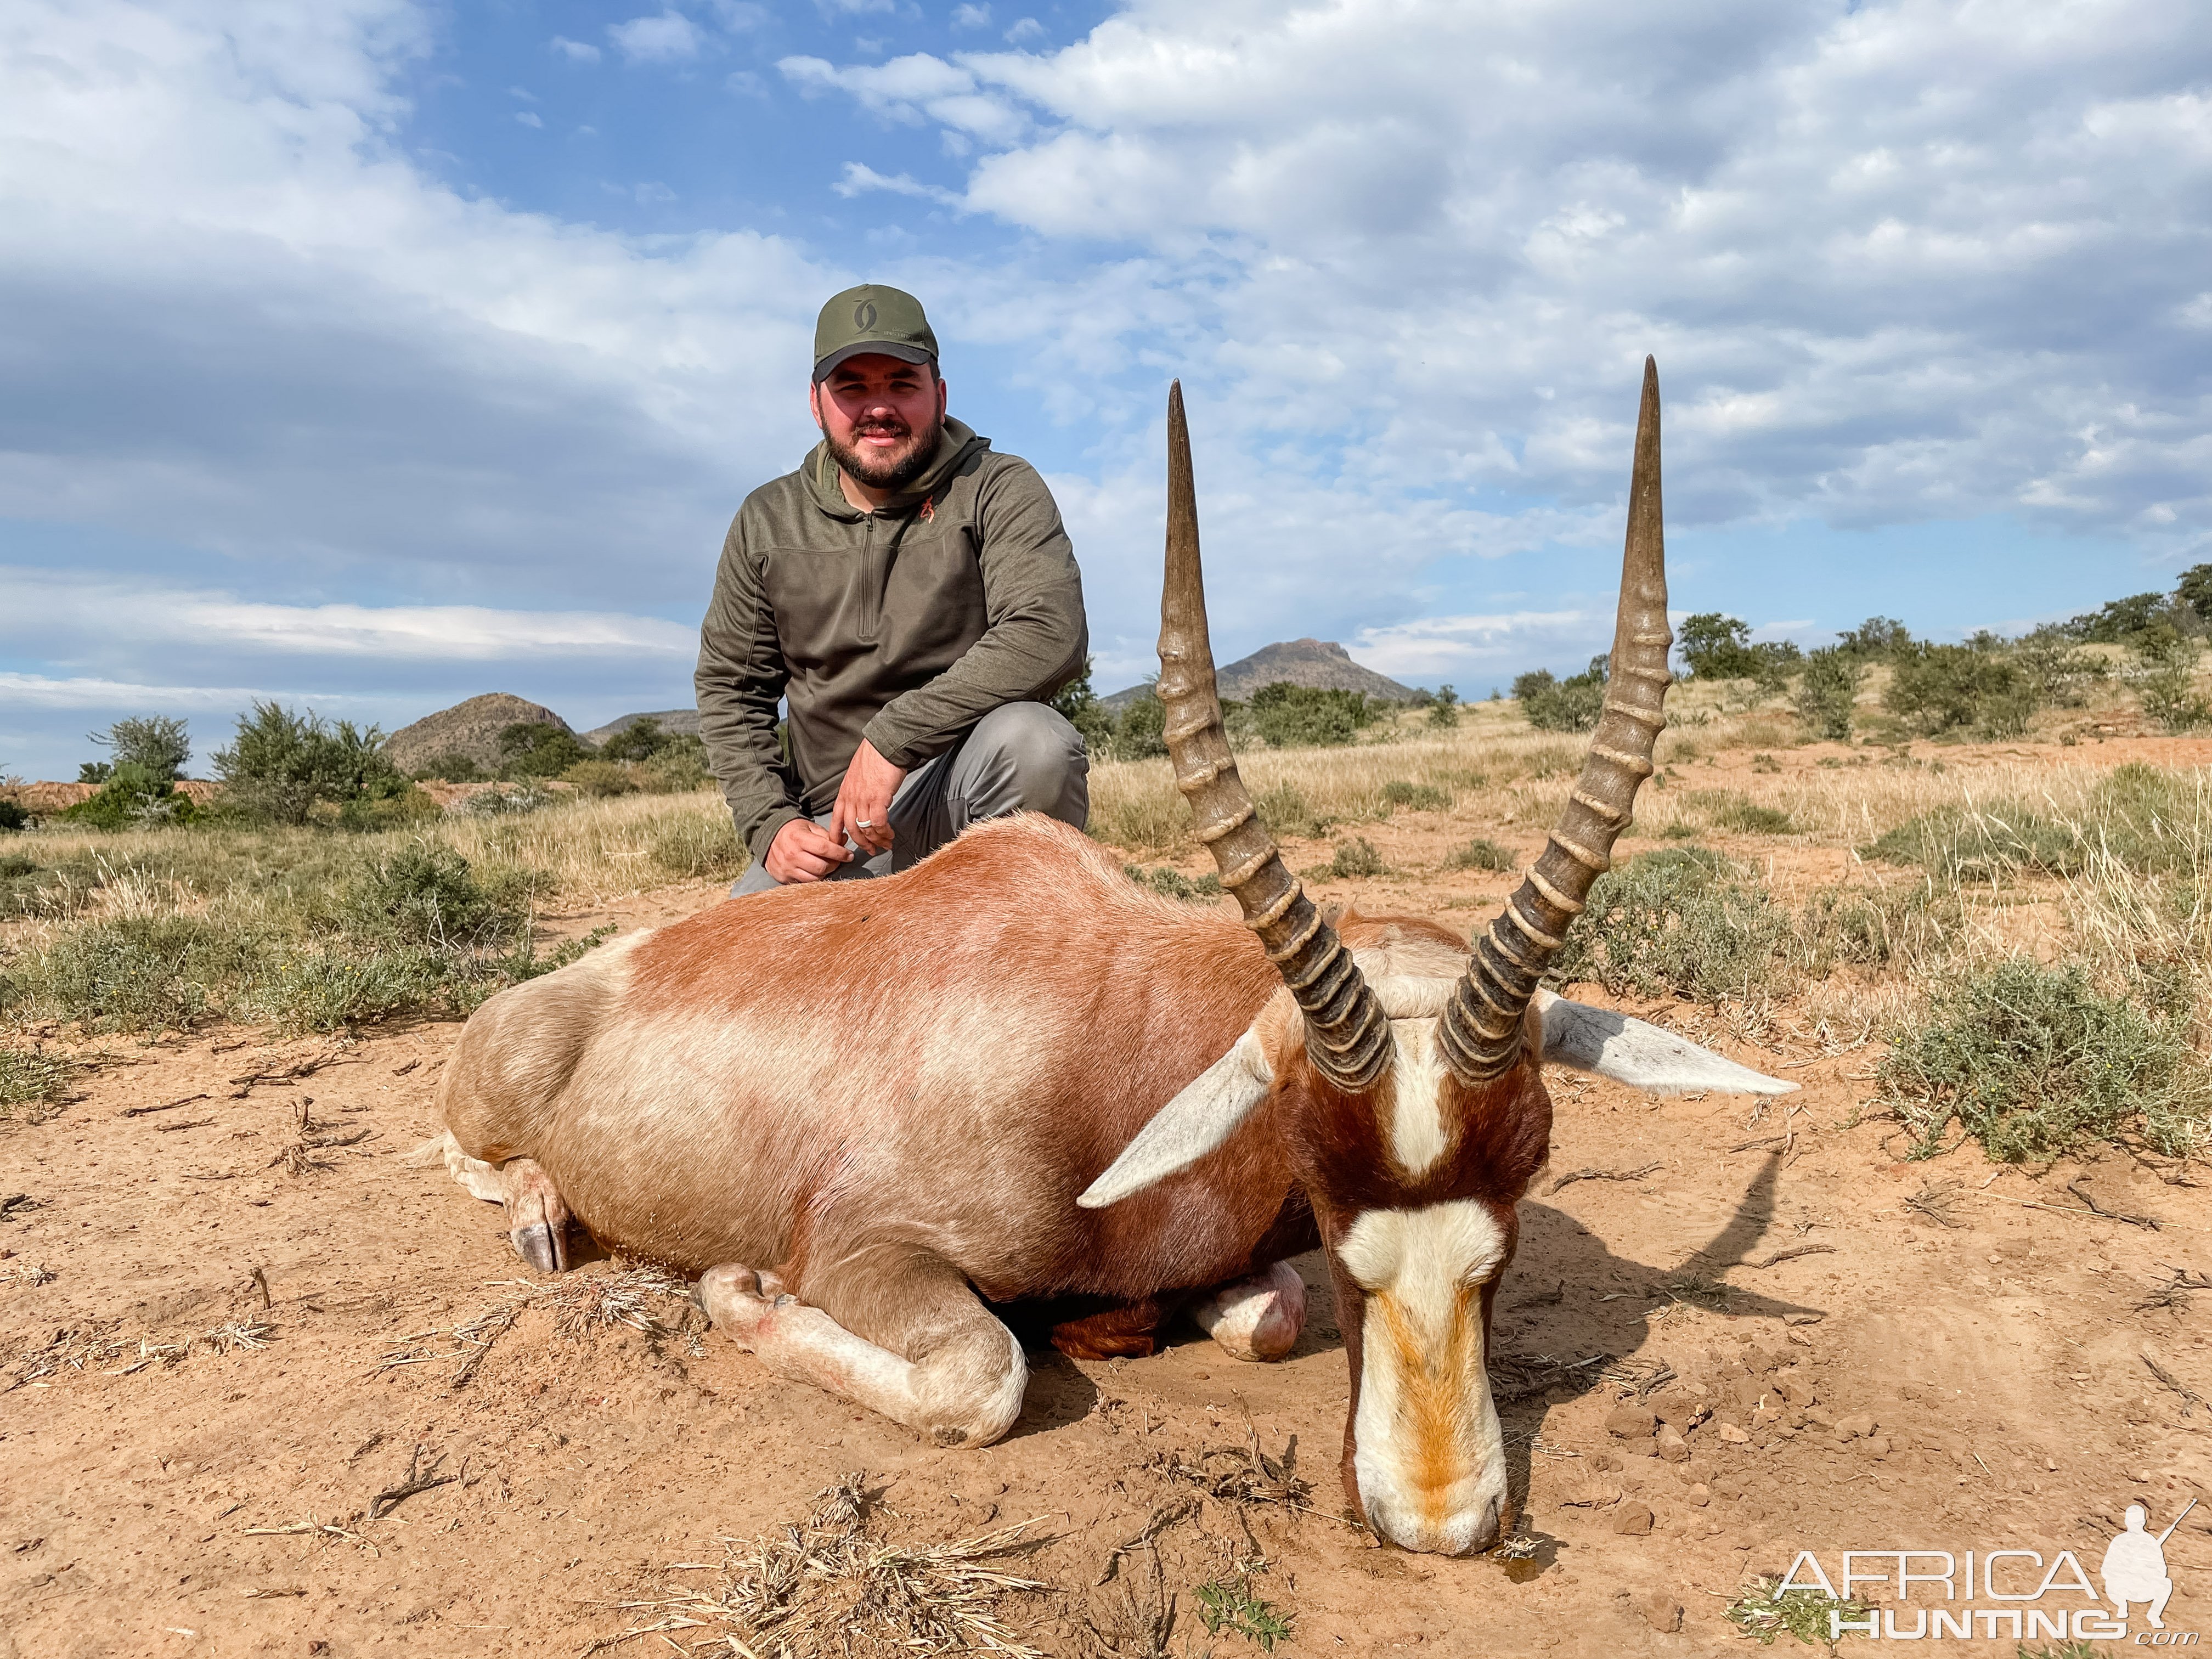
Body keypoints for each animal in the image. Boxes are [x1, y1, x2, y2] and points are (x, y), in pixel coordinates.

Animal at [436, 360, 1796, 1557]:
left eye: (1528, 1176)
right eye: (1316, 1168)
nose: (1441, 1523)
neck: (1109, 1030)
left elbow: (1264, 1317)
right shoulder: (865, 1250)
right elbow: (983, 1375)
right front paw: (738, 1294)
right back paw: (541, 1218)